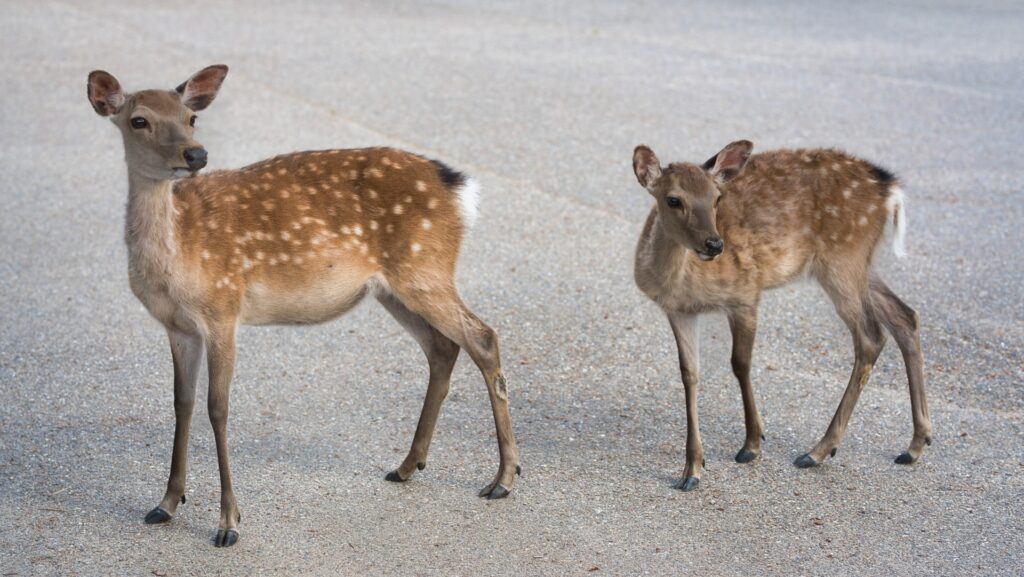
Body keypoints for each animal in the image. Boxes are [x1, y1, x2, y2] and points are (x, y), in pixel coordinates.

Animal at [86, 65, 521, 547]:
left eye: (190, 117)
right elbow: (182, 403)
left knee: (483, 336)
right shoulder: (178, 326)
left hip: (424, 268)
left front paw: (229, 523)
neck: (178, 253)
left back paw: (503, 478)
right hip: (395, 287)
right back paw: (408, 466)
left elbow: (217, 408)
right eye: (139, 120)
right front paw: (165, 503)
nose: (195, 154)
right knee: (443, 348)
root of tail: (459, 189)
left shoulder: (223, 307)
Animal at [631, 140, 932, 492]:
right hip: (859, 265)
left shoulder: (746, 292)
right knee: (905, 316)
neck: (683, 282)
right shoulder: (679, 312)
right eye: (673, 199)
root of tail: (890, 189)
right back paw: (915, 445)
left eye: (717, 197)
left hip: (842, 259)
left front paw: (752, 444)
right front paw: (692, 469)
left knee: (871, 336)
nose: (715, 244)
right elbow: (689, 375)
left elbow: (740, 364)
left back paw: (818, 450)